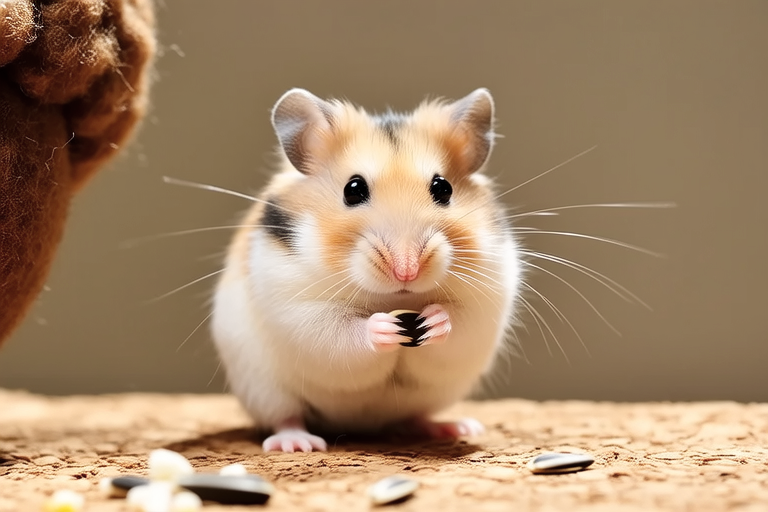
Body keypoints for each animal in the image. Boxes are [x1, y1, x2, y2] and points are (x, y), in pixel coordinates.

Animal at [210, 88, 521, 452]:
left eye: (443, 188)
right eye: (353, 189)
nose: (406, 271)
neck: (393, 297)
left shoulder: (486, 300)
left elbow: (459, 323)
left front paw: (434, 320)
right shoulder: (297, 306)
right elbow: (341, 332)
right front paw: (384, 327)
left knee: (415, 417)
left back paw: (455, 427)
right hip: (264, 389)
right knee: (286, 417)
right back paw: (298, 444)